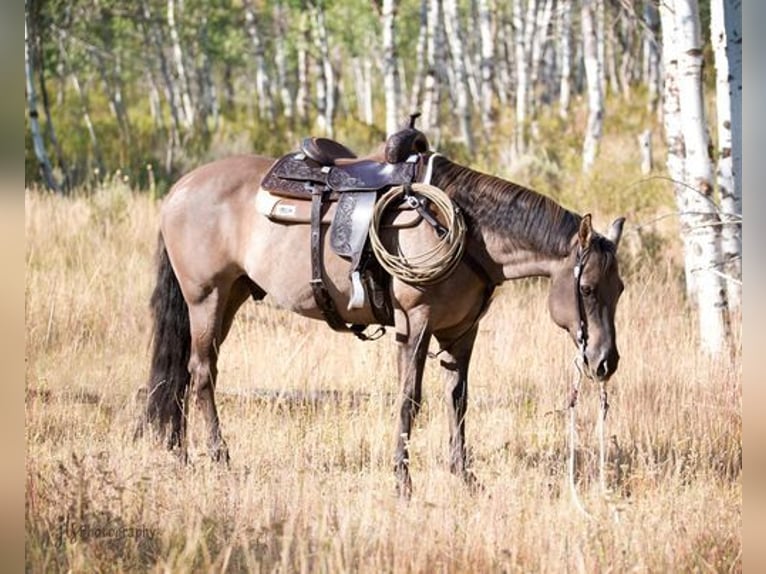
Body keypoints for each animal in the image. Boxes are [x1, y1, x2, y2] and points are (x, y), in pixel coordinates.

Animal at [140, 148, 624, 500]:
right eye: (586, 289)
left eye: (618, 289)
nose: (605, 362)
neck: (469, 230)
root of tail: (181, 187)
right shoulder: (416, 323)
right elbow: (410, 399)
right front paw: (402, 482)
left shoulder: (462, 333)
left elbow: (459, 401)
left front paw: (465, 478)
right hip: (205, 298)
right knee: (203, 372)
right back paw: (218, 456)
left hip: (230, 297)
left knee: (187, 372)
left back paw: (182, 453)